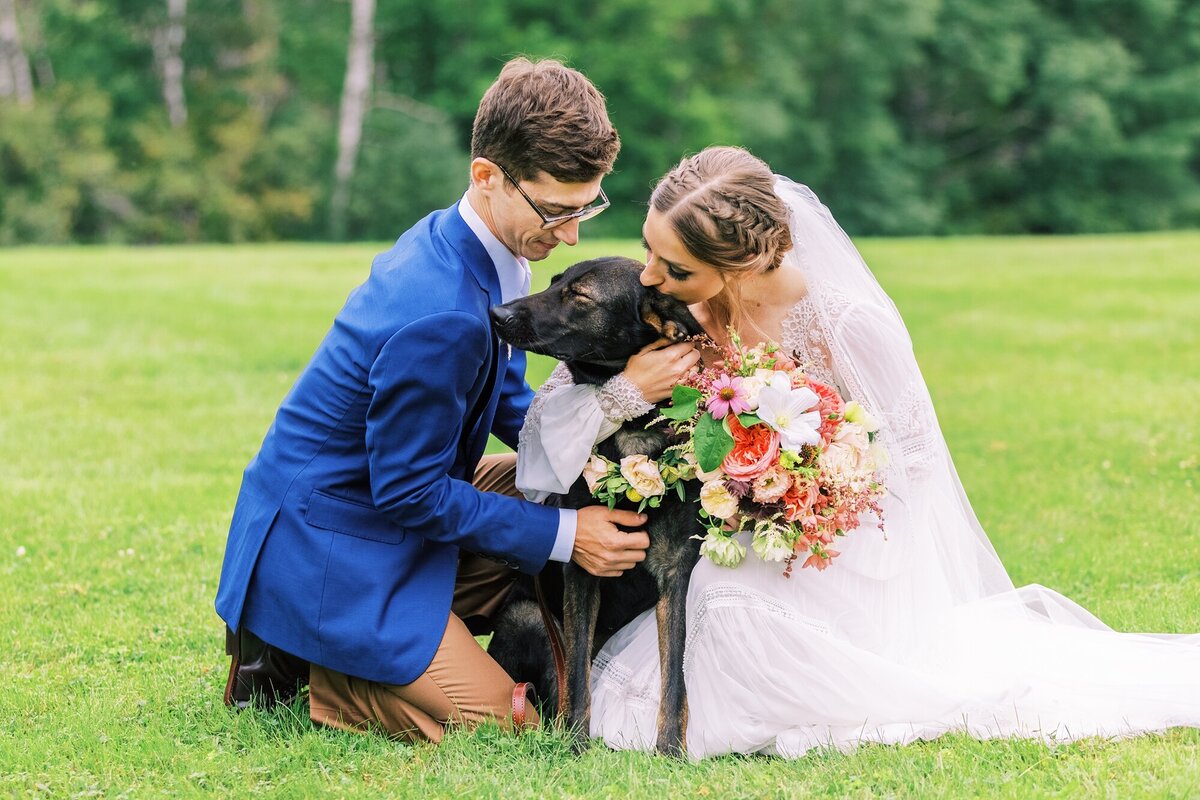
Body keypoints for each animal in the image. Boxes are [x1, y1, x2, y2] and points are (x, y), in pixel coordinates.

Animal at [487, 256, 705, 758]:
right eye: (553, 283)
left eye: (580, 296)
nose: (497, 314)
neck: (633, 431)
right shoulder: (583, 571)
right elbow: (577, 681)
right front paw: (575, 745)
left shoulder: (676, 572)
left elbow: (675, 676)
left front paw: (670, 750)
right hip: (530, 617)